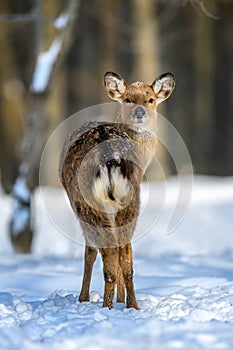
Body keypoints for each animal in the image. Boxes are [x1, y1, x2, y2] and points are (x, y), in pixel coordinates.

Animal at [59, 72, 175, 308]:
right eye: (128, 99)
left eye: (150, 99)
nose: (140, 113)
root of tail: (111, 159)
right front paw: (120, 300)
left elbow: (90, 252)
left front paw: (83, 298)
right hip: (131, 200)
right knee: (125, 256)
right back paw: (132, 305)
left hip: (88, 202)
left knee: (108, 256)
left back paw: (107, 306)